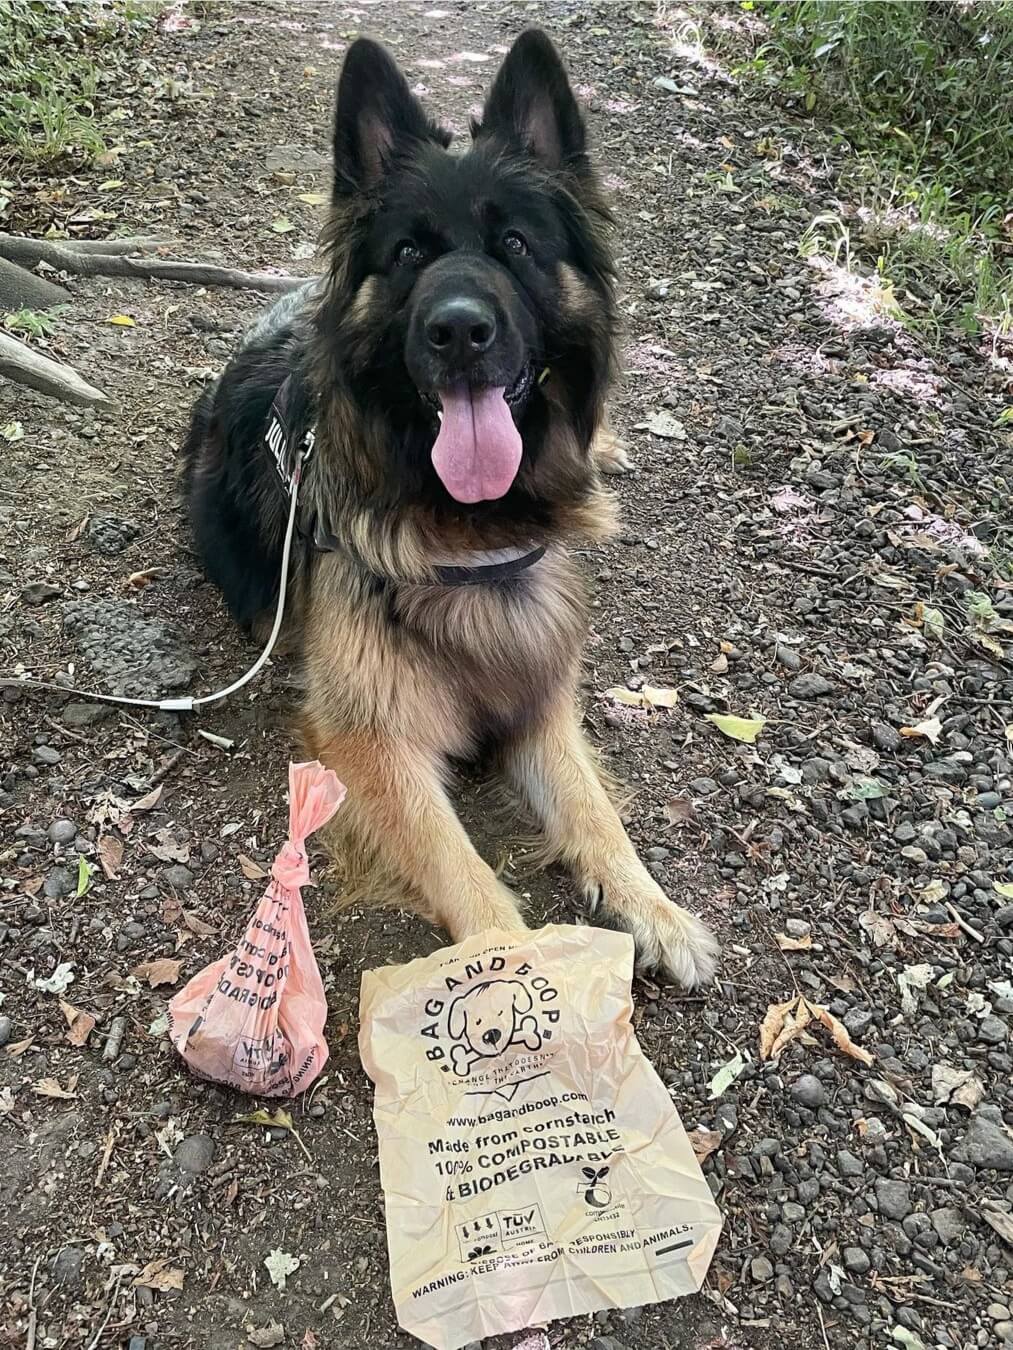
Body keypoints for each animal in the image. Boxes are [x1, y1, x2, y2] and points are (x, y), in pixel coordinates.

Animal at [185, 26, 723, 988]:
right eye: (406, 253)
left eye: (514, 243)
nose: (460, 331)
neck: (470, 530)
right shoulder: (370, 743)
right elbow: (463, 868)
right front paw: (519, 976)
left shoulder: (541, 696)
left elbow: (594, 810)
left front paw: (655, 908)